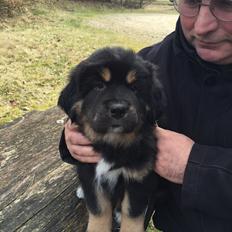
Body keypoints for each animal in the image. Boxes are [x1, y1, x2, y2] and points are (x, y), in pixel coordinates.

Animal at [58, 47, 165, 232]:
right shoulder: (91, 175)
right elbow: (99, 211)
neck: (112, 145)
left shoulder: (138, 178)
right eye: (99, 86)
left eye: (135, 88)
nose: (118, 109)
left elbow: (132, 214)